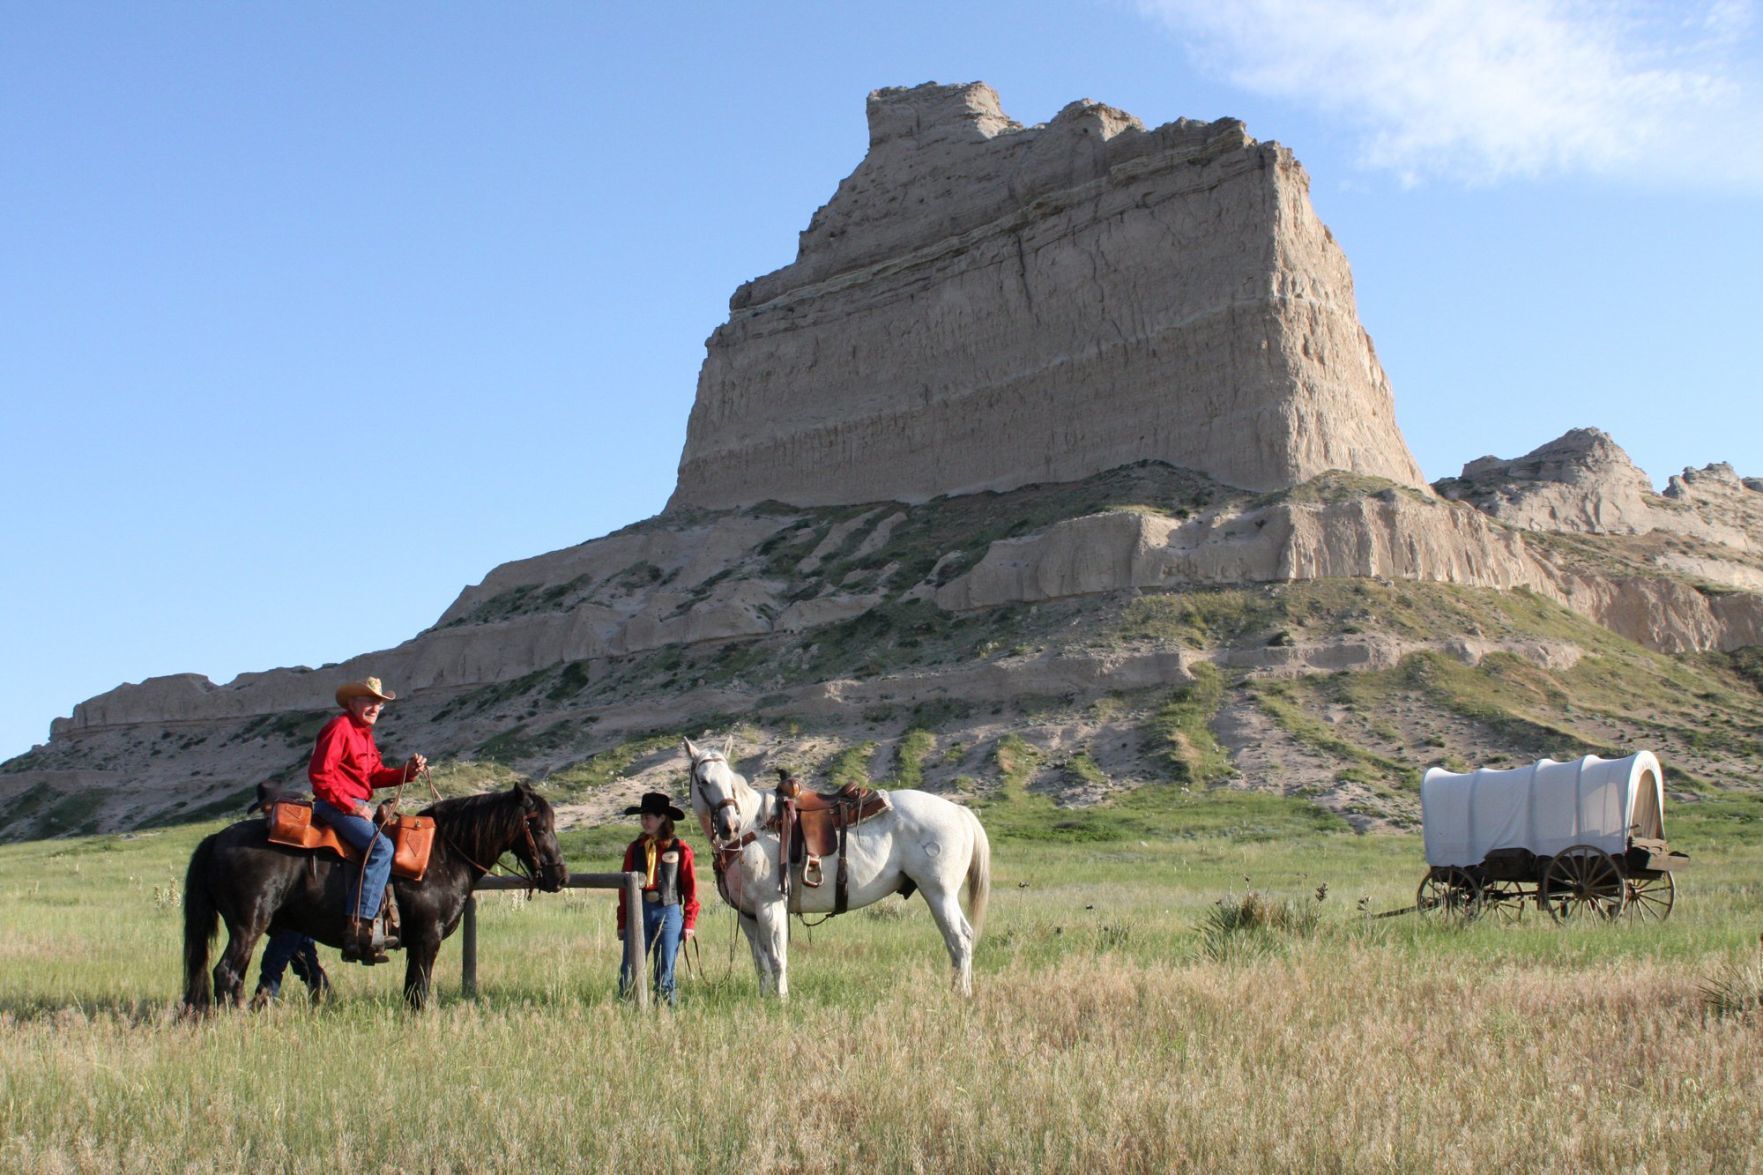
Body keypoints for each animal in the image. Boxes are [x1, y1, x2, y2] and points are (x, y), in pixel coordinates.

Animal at [180, 776, 564, 1009]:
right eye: (539, 826)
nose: (559, 875)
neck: (443, 853)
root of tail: (217, 838)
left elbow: (411, 991)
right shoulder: (427, 937)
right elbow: (419, 992)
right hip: (249, 924)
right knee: (227, 972)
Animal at [680, 737, 994, 995]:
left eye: (729, 782)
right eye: (703, 781)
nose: (729, 826)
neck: (753, 825)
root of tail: (959, 811)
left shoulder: (771, 906)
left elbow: (778, 957)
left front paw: (781, 1000)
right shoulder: (747, 915)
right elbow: (761, 962)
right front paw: (763, 998)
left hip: (940, 893)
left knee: (960, 939)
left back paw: (961, 993)